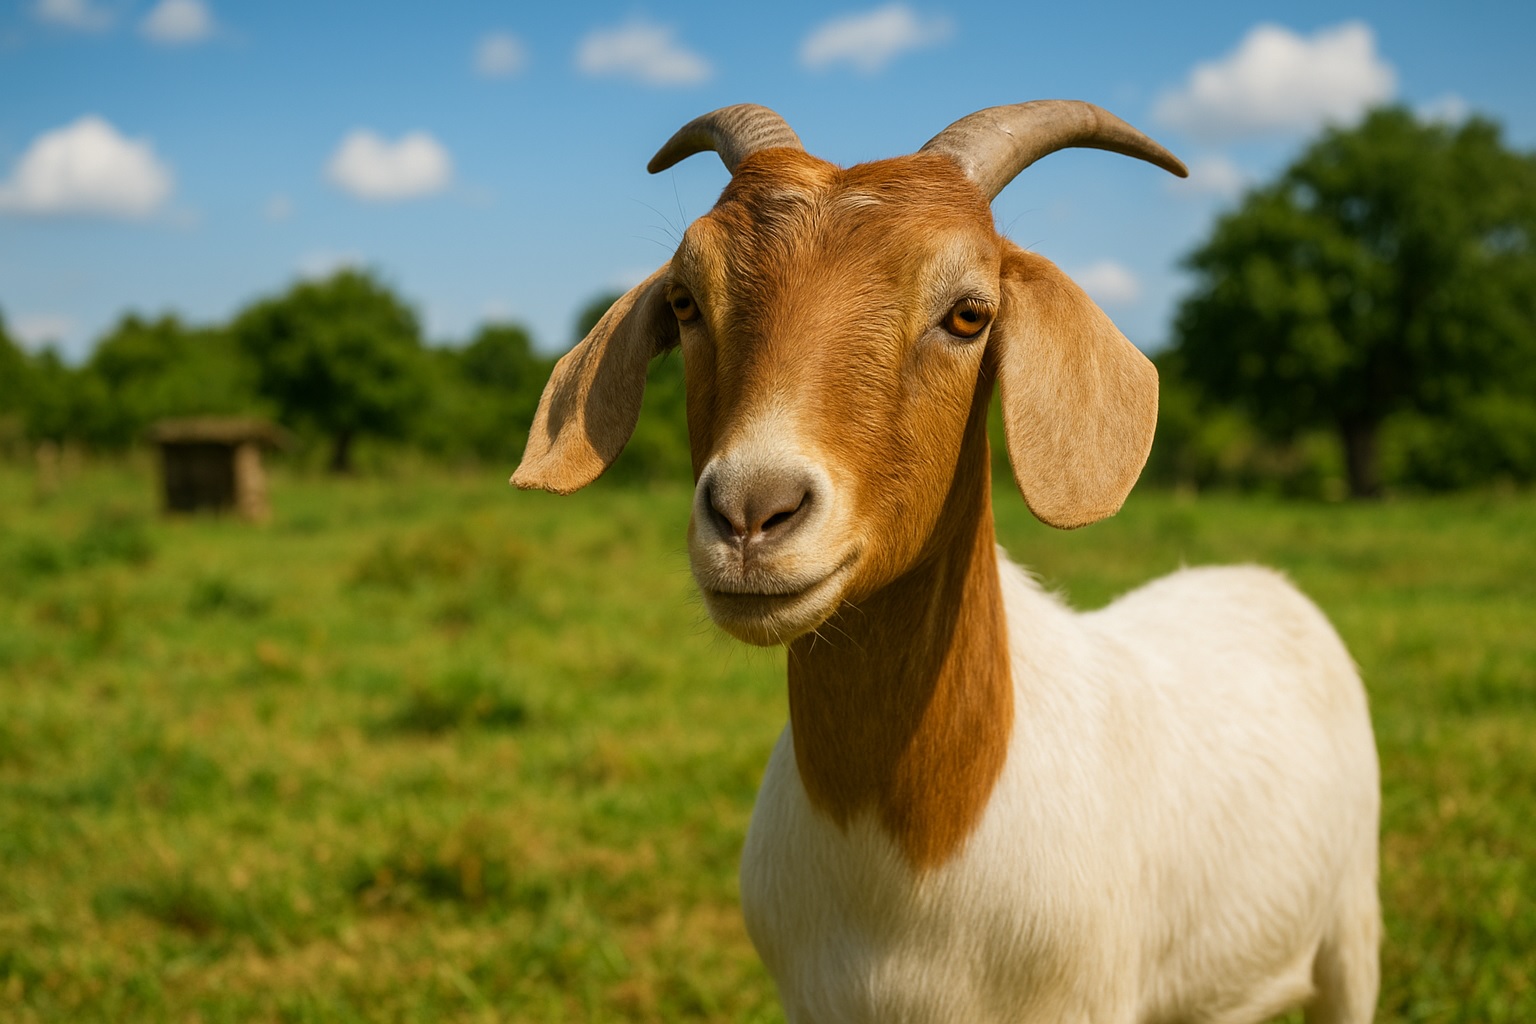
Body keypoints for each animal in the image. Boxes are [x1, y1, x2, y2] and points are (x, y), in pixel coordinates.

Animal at [513, 101, 1380, 1024]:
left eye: (969, 313)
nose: (752, 511)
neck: (899, 867)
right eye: (684, 300)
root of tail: (1255, 579)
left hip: (1353, 927)